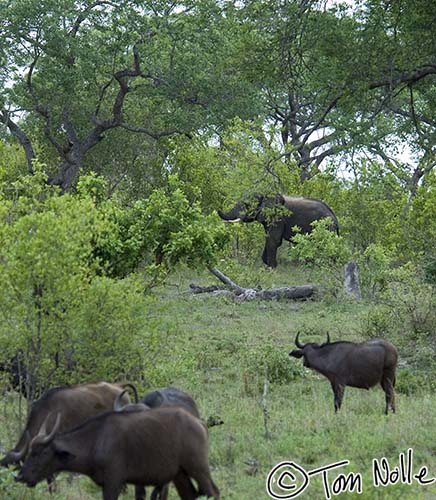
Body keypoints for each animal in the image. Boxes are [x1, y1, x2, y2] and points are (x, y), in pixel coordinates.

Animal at [16, 408, 221, 498]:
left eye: (41, 453)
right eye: (30, 451)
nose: (19, 477)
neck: (96, 440)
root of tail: (199, 422)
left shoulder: (114, 482)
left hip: (198, 468)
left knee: (213, 491)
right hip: (179, 475)